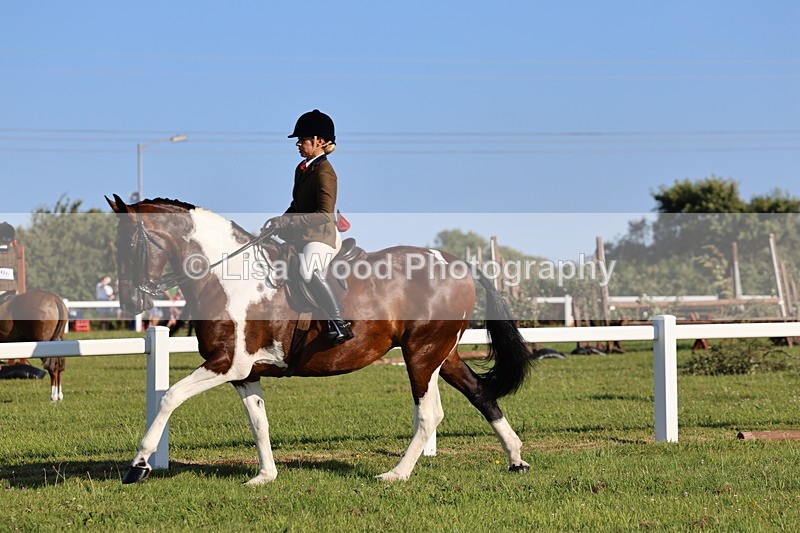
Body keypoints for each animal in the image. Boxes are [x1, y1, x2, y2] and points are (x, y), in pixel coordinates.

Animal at [106, 195, 535, 485]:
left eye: (130, 244)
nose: (130, 303)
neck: (228, 276)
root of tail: (458, 263)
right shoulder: (245, 372)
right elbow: (258, 422)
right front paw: (265, 476)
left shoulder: (226, 364)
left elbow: (169, 397)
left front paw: (138, 465)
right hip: (442, 355)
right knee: (480, 394)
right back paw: (516, 459)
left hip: (422, 355)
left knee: (429, 414)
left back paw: (395, 474)